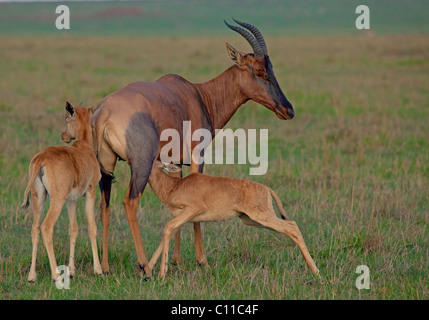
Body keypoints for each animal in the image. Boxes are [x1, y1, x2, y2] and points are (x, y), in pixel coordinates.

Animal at [22, 102, 102, 282]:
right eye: (66, 117)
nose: (64, 135)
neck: (83, 148)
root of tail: (42, 158)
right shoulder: (91, 192)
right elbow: (92, 227)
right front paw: (99, 270)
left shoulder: (71, 200)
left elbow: (73, 229)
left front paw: (71, 271)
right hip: (56, 200)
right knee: (46, 227)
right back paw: (56, 275)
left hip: (39, 197)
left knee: (35, 228)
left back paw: (32, 276)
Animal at [91, 18, 294, 276]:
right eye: (259, 70)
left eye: (271, 68)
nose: (288, 110)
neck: (198, 95)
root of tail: (104, 112)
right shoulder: (198, 157)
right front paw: (201, 261)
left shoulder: (174, 162)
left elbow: (178, 206)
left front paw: (176, 260)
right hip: (141, 164)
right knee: (130, 202)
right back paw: (144, 265)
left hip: (106, 167)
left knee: (104, 206)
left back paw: (105, 268)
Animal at [147, 160, 318, 278]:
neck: (175, 185)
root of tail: (266, 189)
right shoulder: (181, 217)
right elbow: (168, 233)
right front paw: (147, 270)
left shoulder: (194, 209)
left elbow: (167, 227)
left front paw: (161, 275)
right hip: (250, 220)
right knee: (291, 223)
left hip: (262, 217)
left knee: (292, 227)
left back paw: (315, 271)